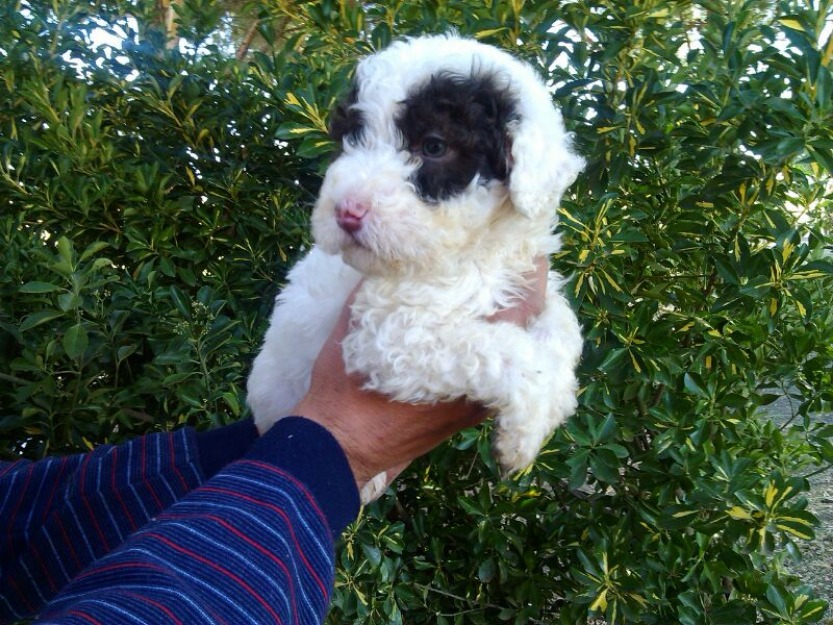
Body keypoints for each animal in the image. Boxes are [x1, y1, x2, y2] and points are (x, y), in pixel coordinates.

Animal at [247, 35, 584, 502]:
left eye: (434, 146)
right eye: (351, 139)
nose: (346, 212)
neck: (471, 253)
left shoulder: (527, 275)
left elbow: (562, 331)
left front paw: (537, 420)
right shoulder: (388, 334)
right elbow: (509, 351)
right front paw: (522, 435)